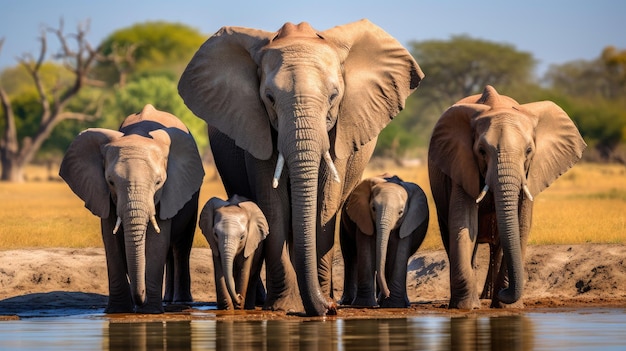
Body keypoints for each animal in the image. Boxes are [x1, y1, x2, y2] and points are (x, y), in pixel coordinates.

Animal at [60, 104, 204, 314]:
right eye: (111, 181)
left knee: (181, 245)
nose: (140, 299)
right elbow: (111, 240)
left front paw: (150, 311)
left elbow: (157, 242)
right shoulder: (103, 194)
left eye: (159, 182)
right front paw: (117, 311)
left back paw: (180, 301)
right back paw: (167, 300)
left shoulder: (168, 191)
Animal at [336, 175, 428, 308]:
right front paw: (364, 304)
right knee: (350, 256)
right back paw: (349, 301)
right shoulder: (363, 216)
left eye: (400, 212)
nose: (387, 293)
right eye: (373, 208)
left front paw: (393, 305)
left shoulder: (408, 221)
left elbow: (399, 253)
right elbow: (366, 251)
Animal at [426, 86, 584, 310]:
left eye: (529, 151)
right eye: (481, 151)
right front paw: (466, 307)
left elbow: (521, 224)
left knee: (499, 243)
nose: (505, 293)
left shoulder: (529, 173)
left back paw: (489, 297)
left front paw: (507, 306)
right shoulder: (461, 163)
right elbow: (464, 222)